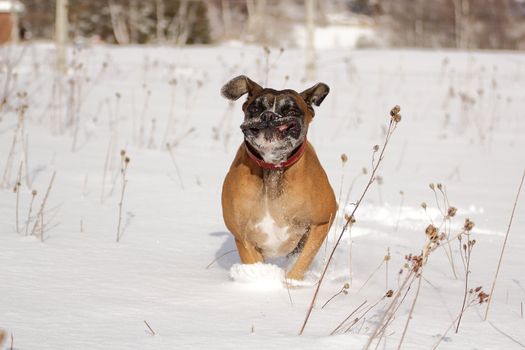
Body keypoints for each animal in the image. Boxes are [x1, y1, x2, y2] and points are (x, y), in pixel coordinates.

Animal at [220, 75, 336, 280]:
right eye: (255, 108)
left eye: (291, 110)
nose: (268, 116)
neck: (273, 168)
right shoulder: (243, 237)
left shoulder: (321, 222)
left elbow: (302, 260)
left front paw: (291, 283)